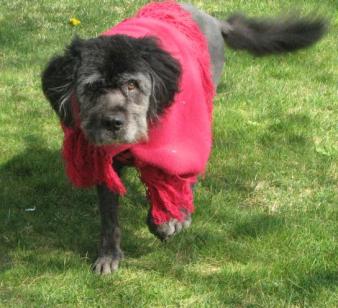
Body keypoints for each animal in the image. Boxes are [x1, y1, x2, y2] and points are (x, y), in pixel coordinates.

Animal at [41, 1, 326, 274]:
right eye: (92, 87)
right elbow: (109, 216)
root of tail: (214, 20)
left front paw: (169, 222)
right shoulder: (105, 163)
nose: (113, 123)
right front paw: (109, 256)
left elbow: (169, 189)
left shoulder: (174, 151)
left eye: (132, 85)